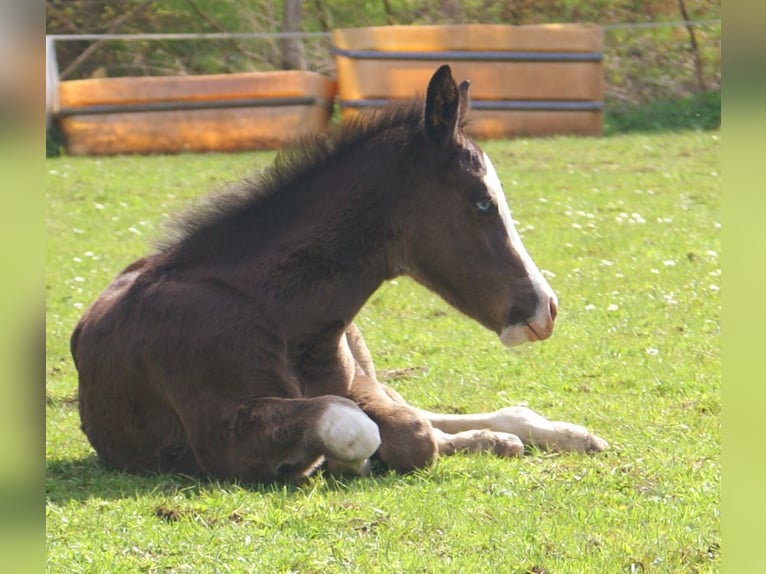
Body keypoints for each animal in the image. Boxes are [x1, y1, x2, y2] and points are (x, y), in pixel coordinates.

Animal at [71, 65, 607, 483]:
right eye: (482, 203)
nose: (546, 307)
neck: (271, 310)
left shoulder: (360, 386)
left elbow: (412, 432)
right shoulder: (218, 432)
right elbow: (362, 428)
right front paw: (339, 462)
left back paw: (561, 435)